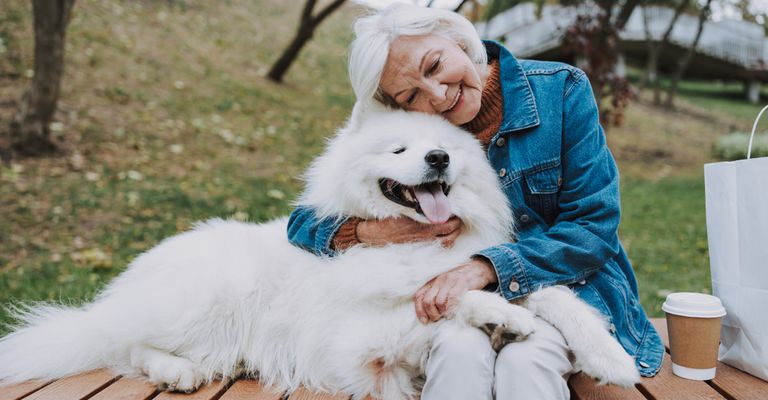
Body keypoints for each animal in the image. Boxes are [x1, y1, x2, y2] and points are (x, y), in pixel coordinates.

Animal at [0, 108, 640, 398]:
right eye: (400, 149)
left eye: (445, 149)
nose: (437, 159)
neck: (420, 241)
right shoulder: (358, 344)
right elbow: (434, 306)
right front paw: (502, 317)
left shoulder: (492, 273)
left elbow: (550, 293)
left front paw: (612, 359)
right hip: (207, 300)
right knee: (122, 344)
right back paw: (176, 370)